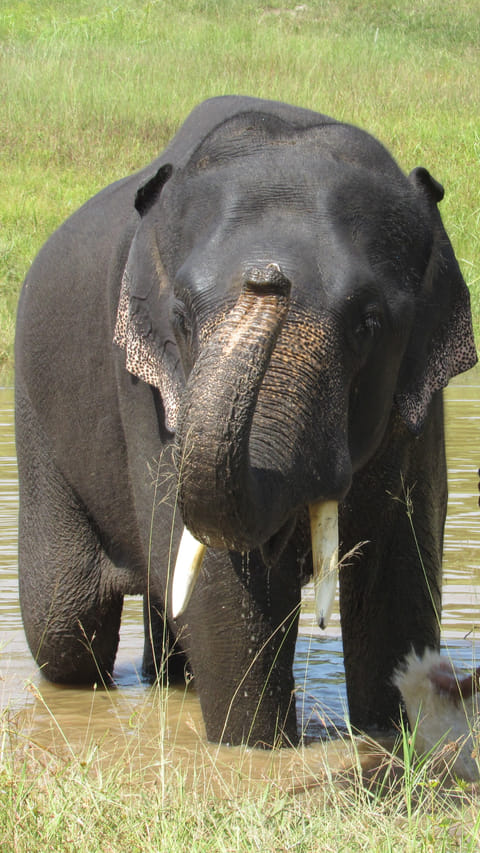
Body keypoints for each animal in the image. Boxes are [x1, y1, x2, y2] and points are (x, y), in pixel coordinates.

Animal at [15, 95, 477, 747]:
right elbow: (221, 583)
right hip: (36, 418)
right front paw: (255, 751)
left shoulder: (417, 404)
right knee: (66, 623)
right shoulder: (153, 399)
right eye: (181, 319)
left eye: (369, 323)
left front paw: (394, 741)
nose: (267, 279)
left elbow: (398, 572)